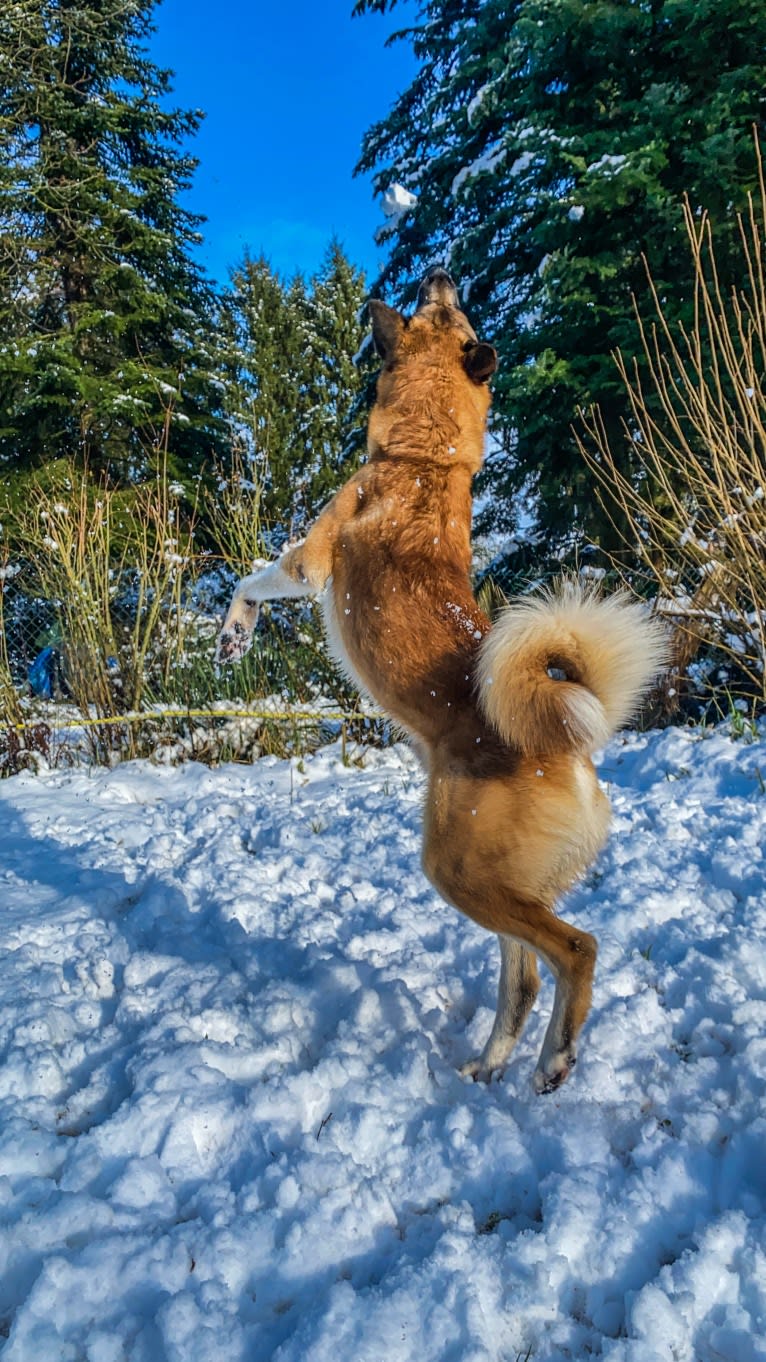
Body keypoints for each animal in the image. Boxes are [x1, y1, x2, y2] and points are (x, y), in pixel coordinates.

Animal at [215, 268, 662, 1095]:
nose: (441, 274)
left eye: (450, 311)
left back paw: (555, 1062)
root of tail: (568, 750)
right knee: (524, 979)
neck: (428, 457)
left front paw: (234, 633)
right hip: (495, 882)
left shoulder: (312, 560)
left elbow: (250, 578)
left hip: (457, 871)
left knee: (575, 950)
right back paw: (491, 1065)